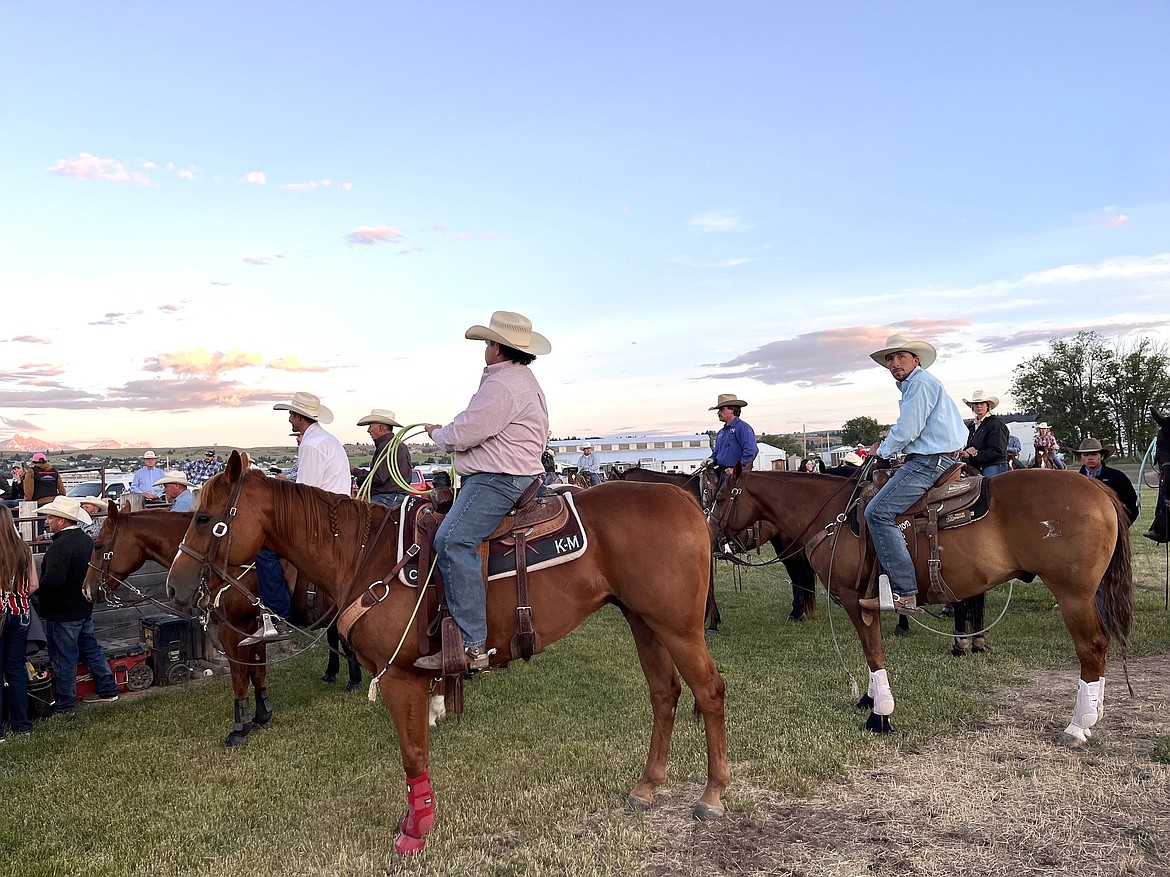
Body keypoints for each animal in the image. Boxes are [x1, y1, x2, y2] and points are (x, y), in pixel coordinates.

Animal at [83, 505, 360, 743]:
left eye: (98, 545)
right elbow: (257, 673)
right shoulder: (254, 631)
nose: (86, 589)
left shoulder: (234, 630)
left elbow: (240, 677)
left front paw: (240, 729)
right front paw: (261, 716)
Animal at [167, 453, 730, 860]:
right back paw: (647, 786)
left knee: (709, 691)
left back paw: (712, 795)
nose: (175, 588)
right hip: (643, 622)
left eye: (205, 518)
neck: (364, 555)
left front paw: (415, 831)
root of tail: (683, 500)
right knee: (665, 694)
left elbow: (413, 754)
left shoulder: (402, 678)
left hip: (677, 627)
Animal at [706, 470, 1127, 743]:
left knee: (1091, 647)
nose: (711, 538)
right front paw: (870, 699)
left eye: (722, 497)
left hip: (1073, 594)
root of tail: (1096, 486)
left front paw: (881, 714)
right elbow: (870, 651)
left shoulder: (856, 600)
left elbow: (873, 651)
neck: (834, 517)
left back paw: (1078, 724)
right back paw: (1094, 713)